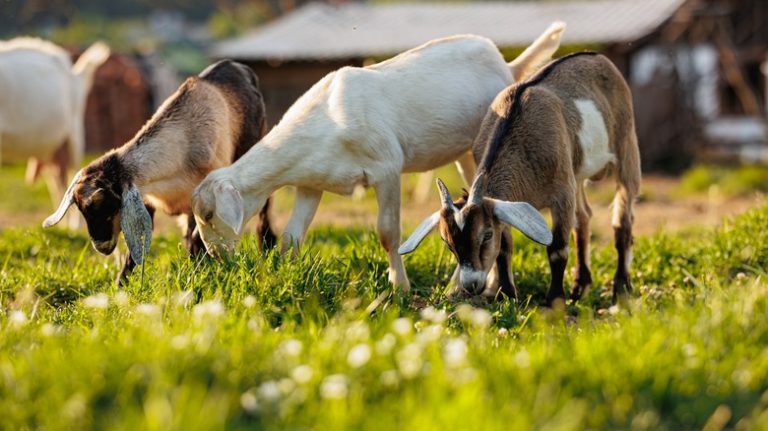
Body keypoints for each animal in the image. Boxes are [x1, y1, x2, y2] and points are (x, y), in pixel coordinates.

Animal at [0, 37, 109, 228]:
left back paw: (74, 227)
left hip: (74, 131)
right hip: (53, 151)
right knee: (58, 182)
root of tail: (75, 74)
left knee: (74, 173)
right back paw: (61, 226)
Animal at [42, 59, 276, 286]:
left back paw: (267, 247)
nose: (102, 246)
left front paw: (200, 277)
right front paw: (120, 286)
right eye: (81, 209)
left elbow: (196, 240)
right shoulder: (149, 200)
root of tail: (237, 66)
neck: (181, 145)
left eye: (107, 205)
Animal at [190, 24, 564, 294]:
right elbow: (292, 236)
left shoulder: (387, 168)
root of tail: (509, 66)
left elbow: (388, 232)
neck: (326, 119)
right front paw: (284, 277)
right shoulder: (311, 183)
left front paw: (399, 287)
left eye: (208, 215)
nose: (216, 257)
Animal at [402, 52, 640, 306]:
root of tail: (597, 57)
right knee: (583, 217)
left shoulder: (562, 194)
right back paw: (580, 287)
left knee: (622, 221)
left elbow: (557, 249)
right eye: (447, 243)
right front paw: (507, 295)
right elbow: (505, 248)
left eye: (486, 235)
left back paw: (621, 288)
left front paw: (554, 302)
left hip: (626, 145)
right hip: (576, 173)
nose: (471, 285)